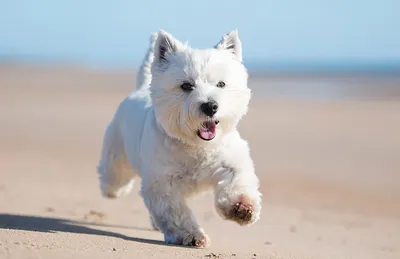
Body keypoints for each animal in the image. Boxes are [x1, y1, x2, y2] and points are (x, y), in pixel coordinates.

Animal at [97, 29, 262, 249]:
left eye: (221, 84)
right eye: (186, 85)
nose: (210, 106)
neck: (195, 145)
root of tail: (141, 89)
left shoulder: (231, 162)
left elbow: (237, 181)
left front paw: (242, 207)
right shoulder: (162, 184)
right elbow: (176, 213)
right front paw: (193, 235)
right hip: (117, 153)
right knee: (114, 175)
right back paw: (112, 190)